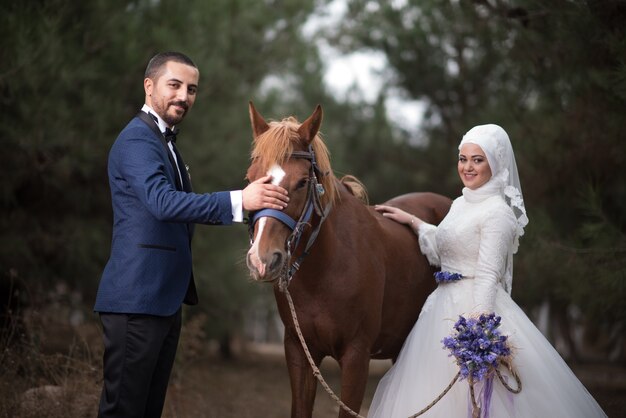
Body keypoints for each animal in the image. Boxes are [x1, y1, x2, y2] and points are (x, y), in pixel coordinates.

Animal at [243, 102, 448, 418]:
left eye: (302, 182)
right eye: (251, 179)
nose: (263, 259)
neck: (324, 271)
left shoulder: (356, 357)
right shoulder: (299, 352)